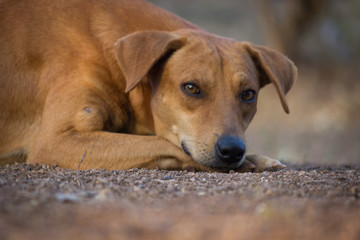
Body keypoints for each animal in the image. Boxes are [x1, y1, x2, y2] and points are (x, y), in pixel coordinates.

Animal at [0, 0, 296, 172]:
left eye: (248, 94)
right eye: (191, 88)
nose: (233, 150)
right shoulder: (57, 140)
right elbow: (166, 145)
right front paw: (254, 161)